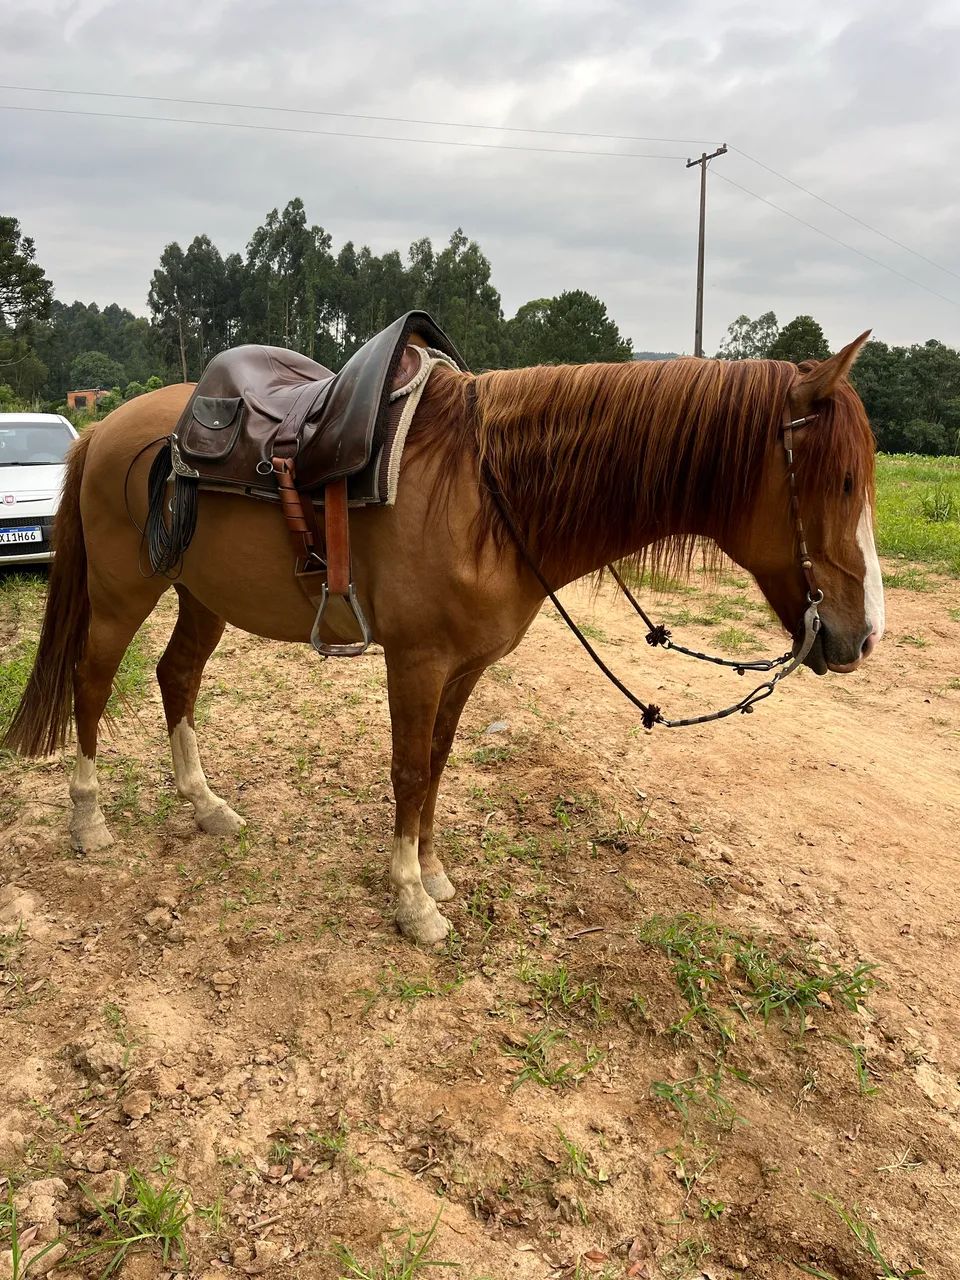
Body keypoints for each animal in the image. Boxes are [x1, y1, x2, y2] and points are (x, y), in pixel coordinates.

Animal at [3, 333, 884, 946]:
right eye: (841, 482)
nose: (862, 637)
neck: (488, 492)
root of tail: (104, 429)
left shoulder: (466, 668)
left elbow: (437, 764)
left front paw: (433, 874)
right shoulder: (417, 661)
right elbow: (407, 768)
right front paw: (410, 902)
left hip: (203, 596)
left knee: (176, 676)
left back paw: (207, 805)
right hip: (124, 593)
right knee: (92, 680)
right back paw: (88, 823)